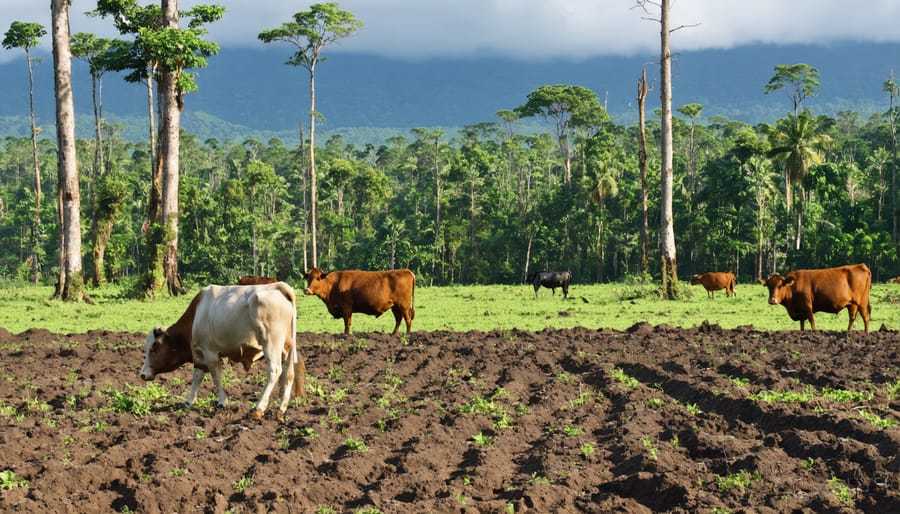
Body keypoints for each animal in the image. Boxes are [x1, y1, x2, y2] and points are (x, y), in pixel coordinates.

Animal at [141, 282, 306, 418]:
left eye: (154, 348)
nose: (142, 374)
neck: (196, 314)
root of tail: (279, 286)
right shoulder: (200, 355)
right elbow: (197, 377)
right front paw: (188, 401)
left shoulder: (211, 353)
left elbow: (216, 376)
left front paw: (222, 401)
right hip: (287, 348)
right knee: (288, 374)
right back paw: (281, 408)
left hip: (271, 345)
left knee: (274, 371)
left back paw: (258, 408)